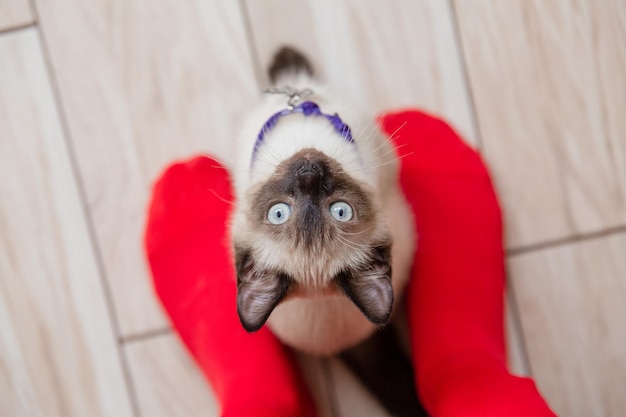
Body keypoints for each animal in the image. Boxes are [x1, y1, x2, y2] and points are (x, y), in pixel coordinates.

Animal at [228, 48, 414, 354]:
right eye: (278, 213)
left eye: (341, 211)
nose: (309, 174)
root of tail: (340, 348)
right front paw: (285, 57)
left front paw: (285, 56)